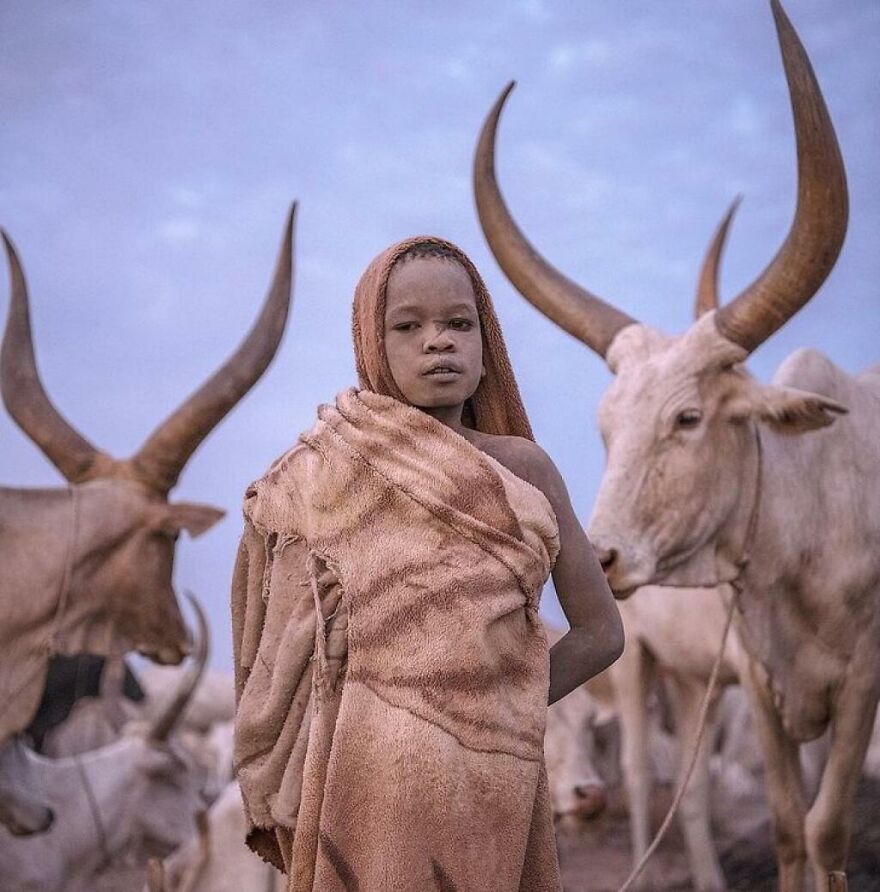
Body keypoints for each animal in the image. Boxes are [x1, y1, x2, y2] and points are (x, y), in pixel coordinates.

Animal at [474, 3, 880, 888]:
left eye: (689, 418)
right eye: (603, 429)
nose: (601, 559)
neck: (813, 511)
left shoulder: (858, 683)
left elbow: (826, 827)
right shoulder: (759, 682)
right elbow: (794, 825)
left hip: (695, 686)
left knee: (688, 793)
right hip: (640, 670)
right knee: (645, 775)